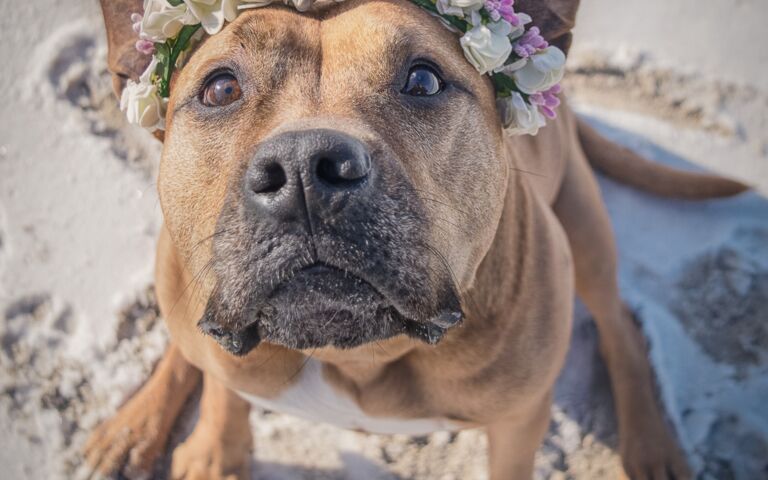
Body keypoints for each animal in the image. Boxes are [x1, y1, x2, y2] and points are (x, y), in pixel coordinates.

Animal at [84, 0, 748, 478]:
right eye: (221, 89)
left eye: (424, 82)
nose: (303, 170)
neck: (356, 356)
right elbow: (222, 389)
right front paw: (212, 448)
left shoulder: (519, 422)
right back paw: (136, 427)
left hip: (584, 227)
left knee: (620, 323)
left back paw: (651, 442)